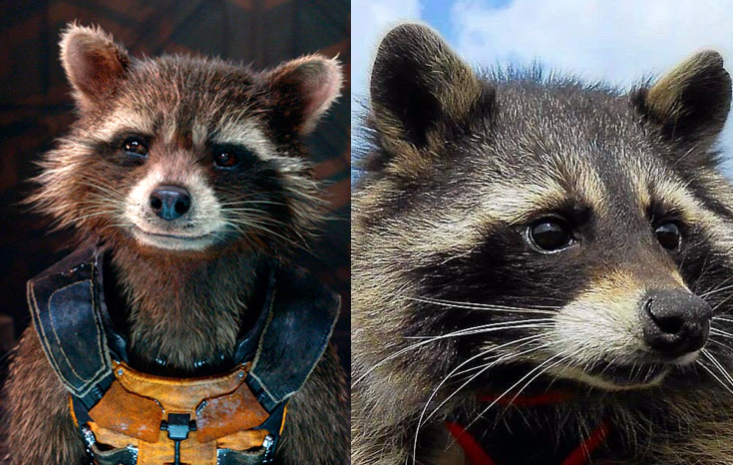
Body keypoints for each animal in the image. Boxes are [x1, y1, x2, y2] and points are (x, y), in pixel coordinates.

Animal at [4, 24, 348, 465]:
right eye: (135, 144)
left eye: (226, 156)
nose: (169, 198)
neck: (176, 267)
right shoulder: (44, 360)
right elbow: (36, 448)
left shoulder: (314, 372)